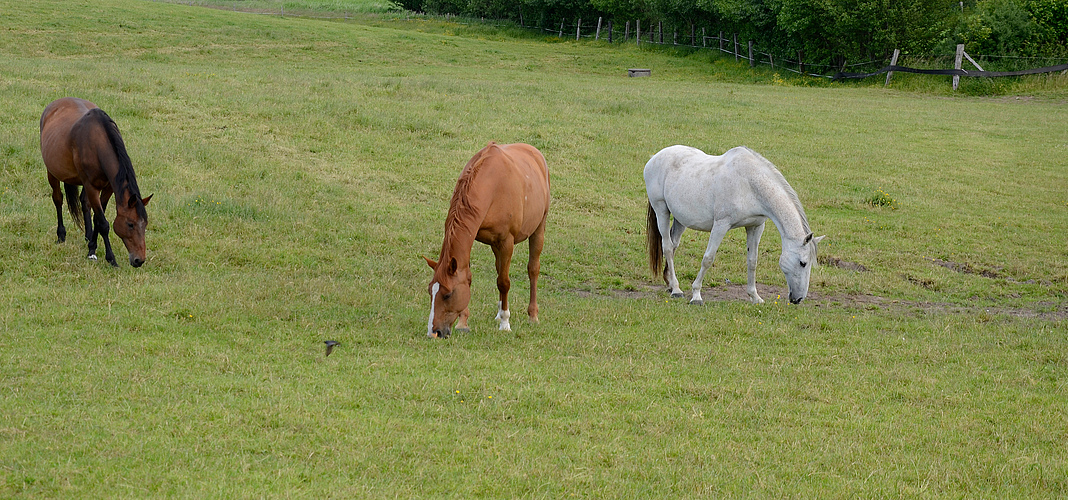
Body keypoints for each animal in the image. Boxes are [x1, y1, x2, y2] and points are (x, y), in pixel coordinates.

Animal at [40, 99, 152, 267]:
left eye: (145, 224)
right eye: (130, 224)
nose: (139, 260)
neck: (98, 144)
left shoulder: (108, 188)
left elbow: (97, 219)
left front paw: (92, 248)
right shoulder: (92, 187)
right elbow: (103, 223)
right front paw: (110, 258)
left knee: (84, 203)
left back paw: (87, 235)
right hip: (52, 173)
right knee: (58, 199)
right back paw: (61, 235)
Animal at [422, 142, 551, 337]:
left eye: (448, 294)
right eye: (431, 291)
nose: (434, 332)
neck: (492, 186)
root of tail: (534, 152)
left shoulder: (507, 242)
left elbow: (504, 282)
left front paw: (505, 323)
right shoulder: (474, 237)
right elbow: (469, 277)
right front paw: (463, 321)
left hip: (538, 229)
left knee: (533, 270)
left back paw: (532, 315)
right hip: (495, 245)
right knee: (499, 268)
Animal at [640, 144, 824, 305]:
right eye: (802, 263)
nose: (798, 299)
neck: (749, 184)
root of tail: (654, 158)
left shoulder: (755, 227)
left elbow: (752, 261)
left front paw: (755, 297)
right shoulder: (721, 225)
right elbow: (708, 259)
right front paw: (696, 295)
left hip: (680, 219)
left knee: (673, 245)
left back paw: (671, 284)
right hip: (661, 211)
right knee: (667, 247)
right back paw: (677, 290)